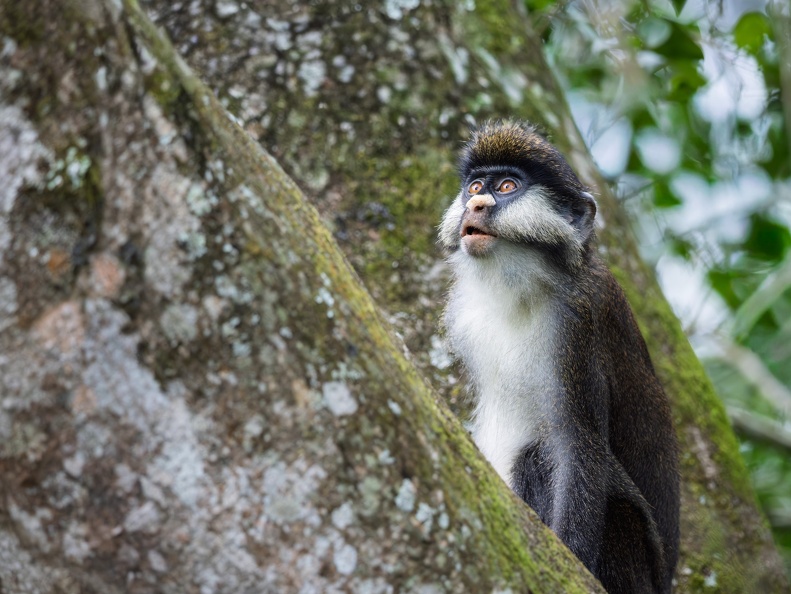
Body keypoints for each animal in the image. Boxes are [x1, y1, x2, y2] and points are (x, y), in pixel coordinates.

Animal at [439, 121, 680, 594]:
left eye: (507, 187)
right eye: (475, 186)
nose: (475, 203)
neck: (522, 286)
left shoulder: (579, 321)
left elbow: (577, 446)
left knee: (537, 457)